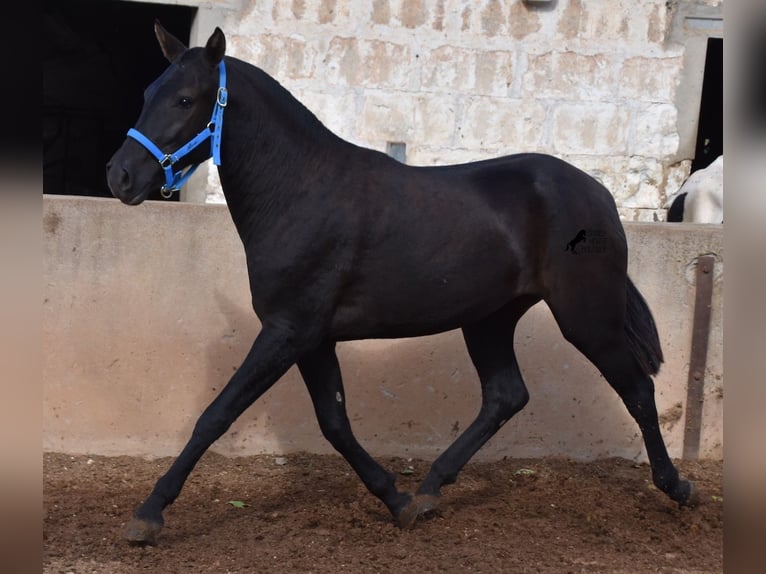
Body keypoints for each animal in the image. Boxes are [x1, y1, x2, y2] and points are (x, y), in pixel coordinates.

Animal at [105, 23, 700, 544]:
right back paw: (431, 489)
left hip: (586, 317)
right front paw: (397, 500)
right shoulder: (313, 338)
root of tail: (598, 195)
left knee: (637, 390)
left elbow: (217, 415)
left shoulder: (287, 331)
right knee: (506, 395)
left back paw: (678, 488)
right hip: (489, 319)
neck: (301, 191)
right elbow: (334, 423)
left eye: (185, 99)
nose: (120, 176)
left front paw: (148, 514)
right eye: (148, 92)